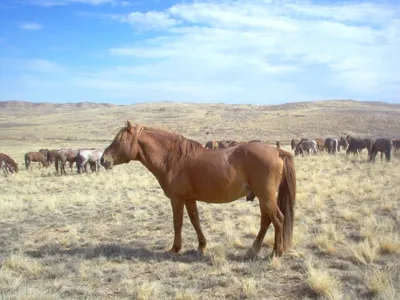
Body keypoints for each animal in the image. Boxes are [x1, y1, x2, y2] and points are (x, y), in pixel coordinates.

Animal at [101, 122, 296, 258]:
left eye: (119, 140)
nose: (103, 159)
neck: (173, 159)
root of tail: (278, 151)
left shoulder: (177, 199)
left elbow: (177, 222)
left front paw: (175, 249)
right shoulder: (189, 199)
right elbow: (195, 221)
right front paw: (201, 246)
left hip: (266, 197)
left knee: (278, 219)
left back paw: (276, 252)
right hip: (263, 198)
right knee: (266, 221)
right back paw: (253, 250)